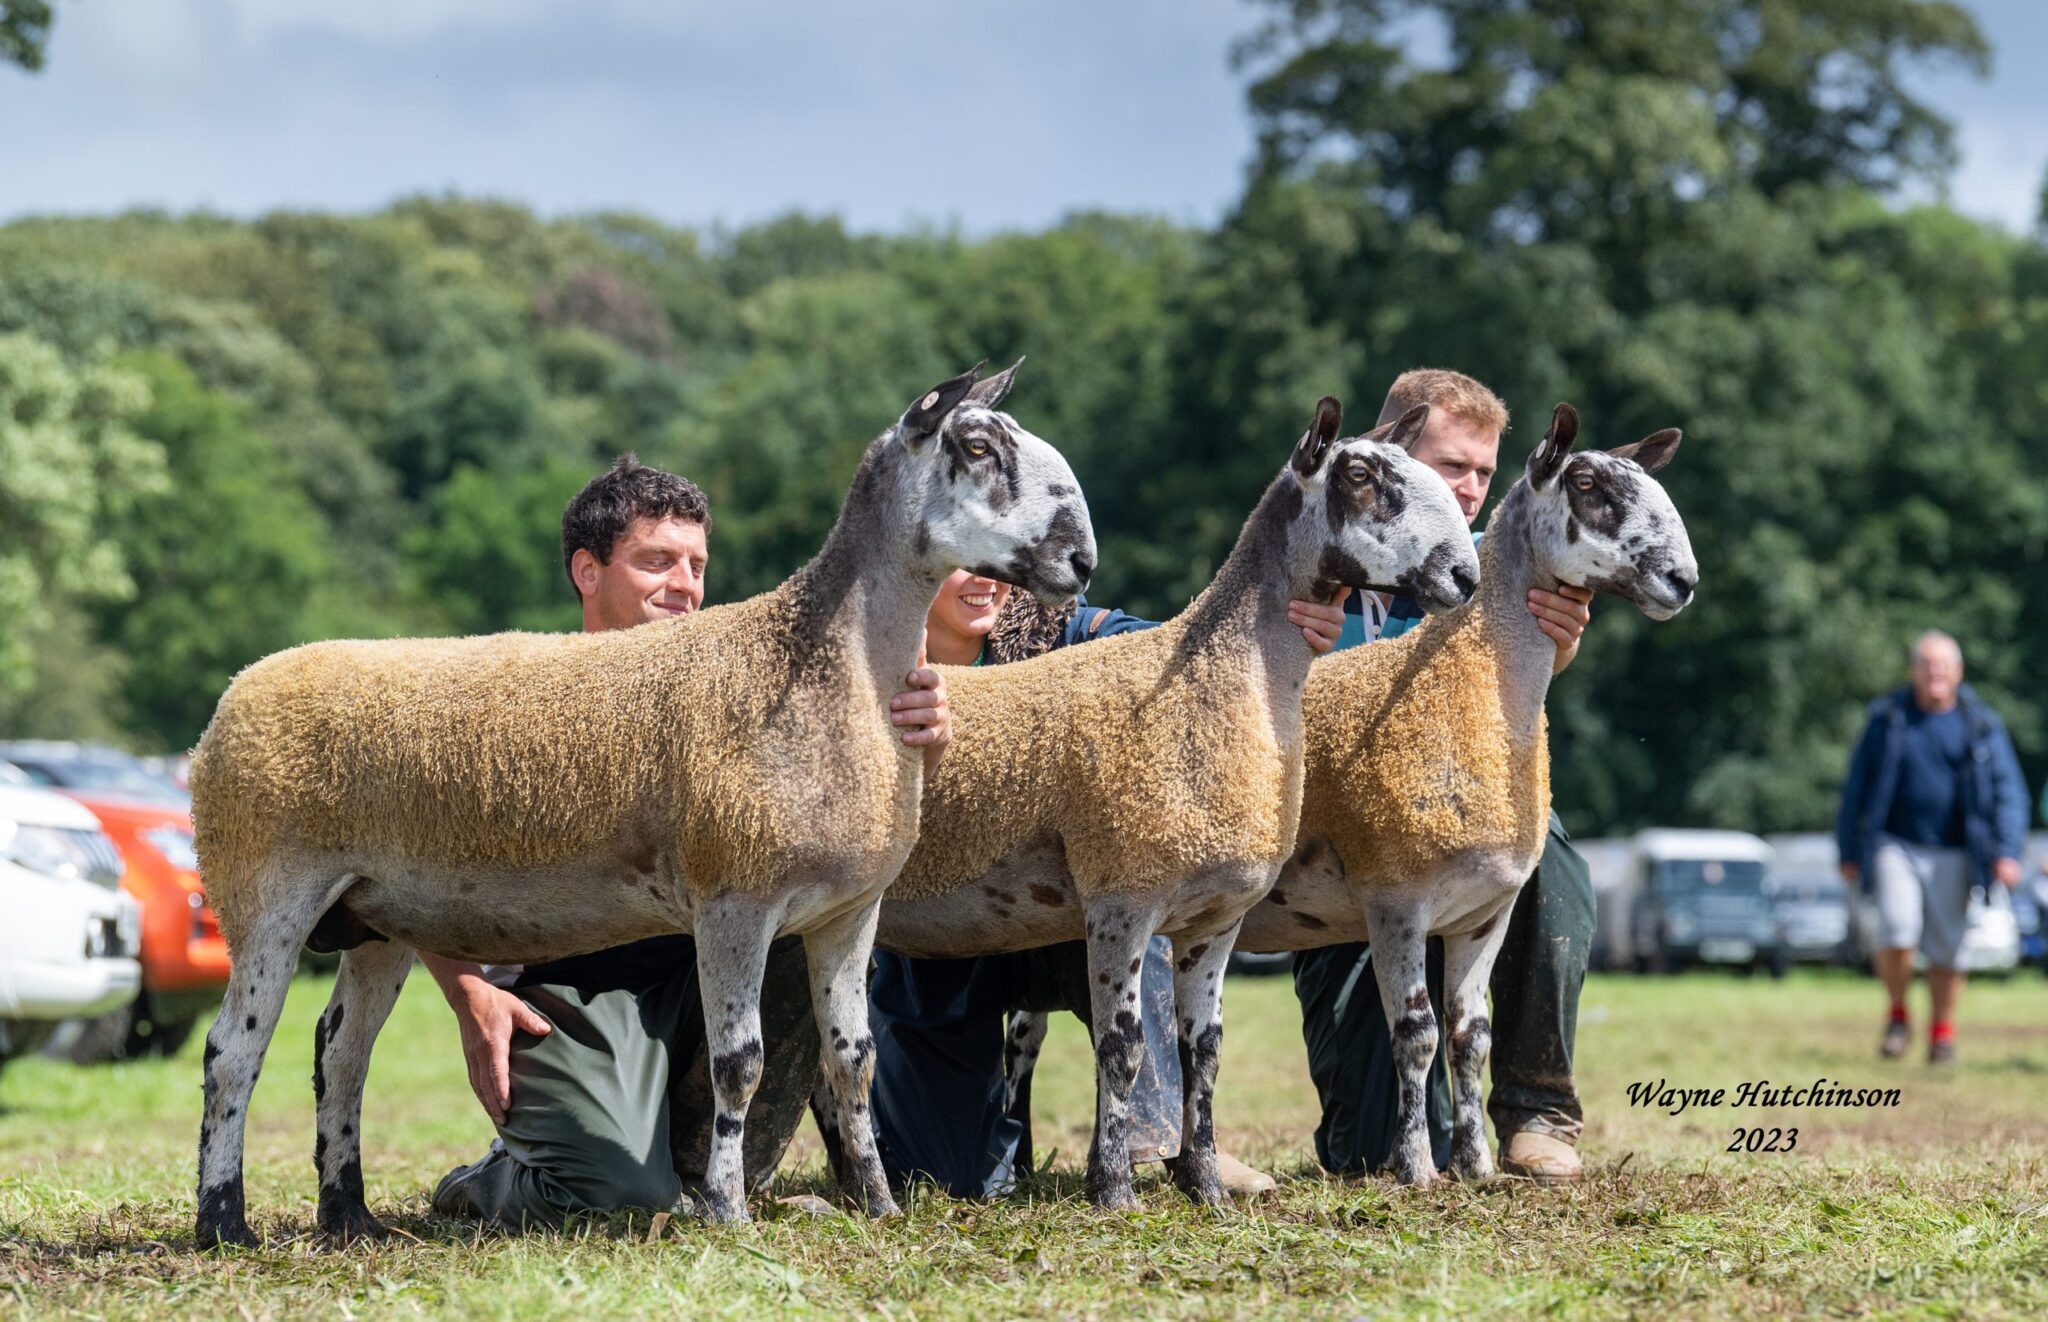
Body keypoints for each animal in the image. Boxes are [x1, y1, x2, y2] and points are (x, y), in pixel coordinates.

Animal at [184, 358, 1097, 1252]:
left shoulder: (849, 910)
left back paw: (349, 1217)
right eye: (976, 447)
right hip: (264, 884)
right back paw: (224, 1223)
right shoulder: (734, 894)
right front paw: (727, 1210)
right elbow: (739, 1064)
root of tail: (233, 697)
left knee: (341, 1053)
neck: (823, 663)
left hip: (372, 913)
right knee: (233, 1052)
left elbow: (853, 1060)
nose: (1082, 561)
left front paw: (878, 1204)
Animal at [872, 397, 1482, 1211]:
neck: (1212, 678)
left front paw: (1206, 1184)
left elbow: (1205, 1053)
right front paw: (1114, 1190)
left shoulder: (1214, 920)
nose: (1464, 573)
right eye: (1359, 476)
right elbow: (1122, 1049)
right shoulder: (1120, 898)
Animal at [1228, 403, 1695, 1195]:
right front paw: (1417, 1167)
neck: (1471, 678)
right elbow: (1415, 1035)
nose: (1682, 579)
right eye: (1589, 485)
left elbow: (1470, 1037)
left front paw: (1477, 1167)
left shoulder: (1484, 911)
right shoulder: (1395, 897)